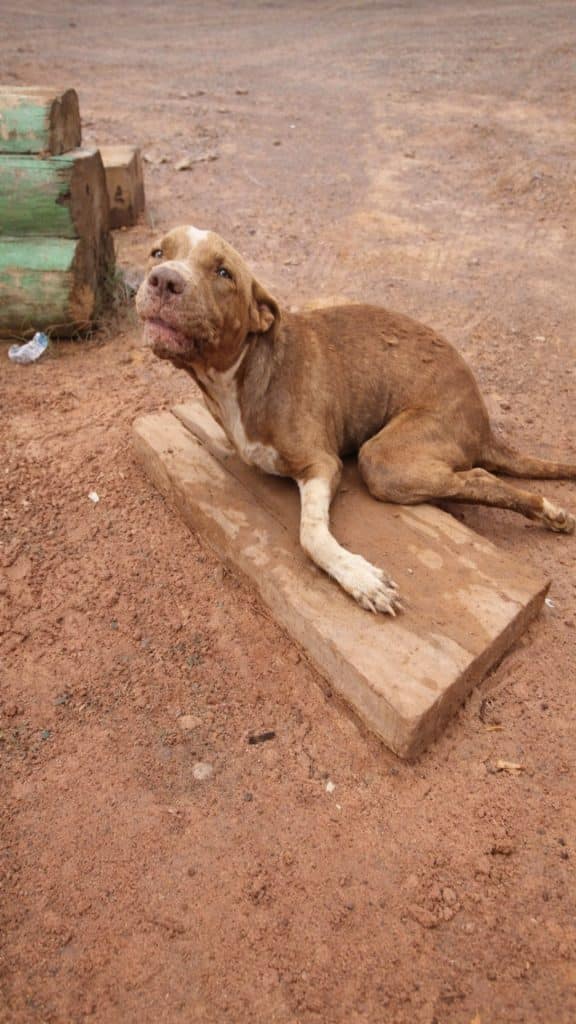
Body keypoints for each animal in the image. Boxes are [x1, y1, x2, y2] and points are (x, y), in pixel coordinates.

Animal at [136, 226, 575, 615]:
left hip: (384, 460)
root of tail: (483, 422)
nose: (164, 280)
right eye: (157, 252)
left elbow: (311, 535)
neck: (239, 375)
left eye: (224, 272)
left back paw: (549, 513)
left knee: (480, 476)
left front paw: (360, 578)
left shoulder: (322, 464)